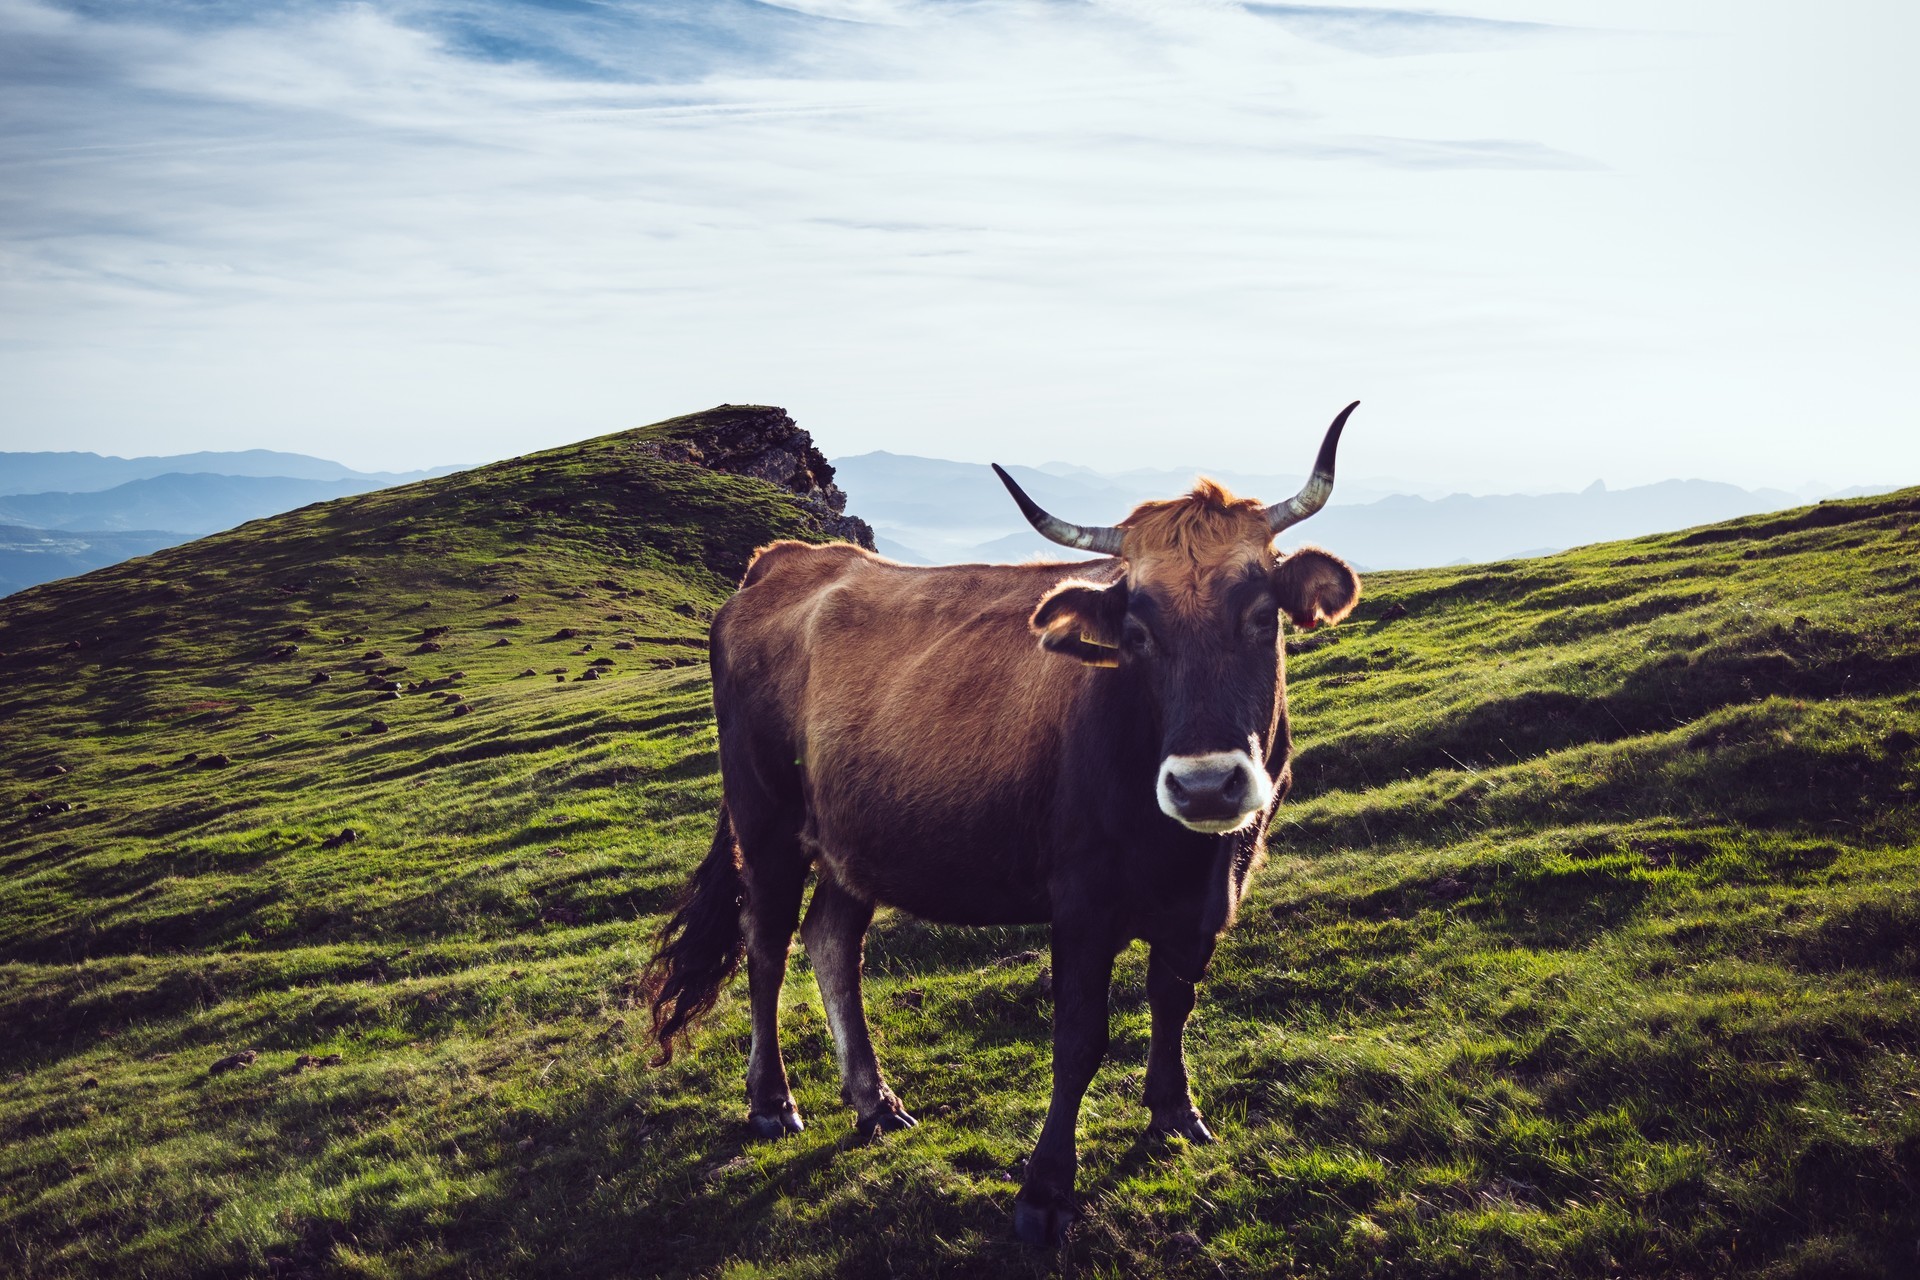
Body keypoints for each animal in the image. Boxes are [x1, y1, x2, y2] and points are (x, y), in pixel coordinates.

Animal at [645, 401, 1367, 1243]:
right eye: (1137, 633)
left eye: (1260, 616)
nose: (1205, 785)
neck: (1179, 854)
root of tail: (785, 561)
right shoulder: (1081, 899)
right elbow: (1079, 1038)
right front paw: (1045, 1189)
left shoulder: (1213, 892)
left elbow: (1174, 1001)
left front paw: (1175, 1114)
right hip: (765, 822)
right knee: (766, 946)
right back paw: (771, 1102)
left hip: (854, 837)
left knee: (830, 940)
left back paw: (873, 1100)